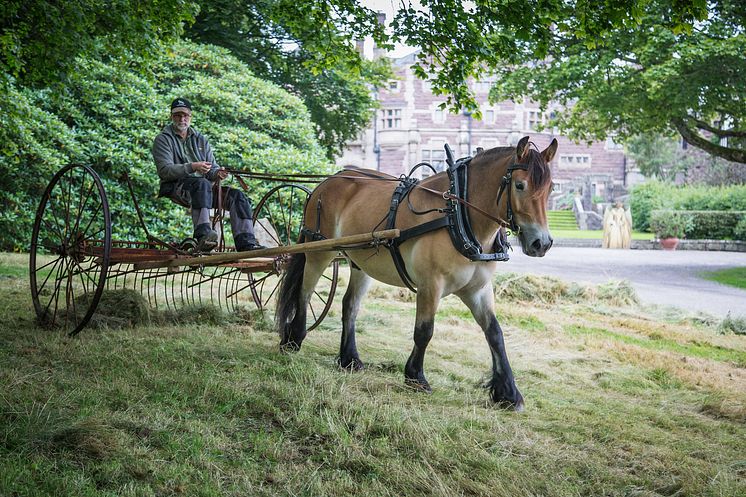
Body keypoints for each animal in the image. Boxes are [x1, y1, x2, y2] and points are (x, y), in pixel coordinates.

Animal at [274, 135, 552, 406]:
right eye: (520, 185)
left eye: (550, 188)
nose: (542, 243)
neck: (458, 215)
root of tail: (327, 181)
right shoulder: (431, 284)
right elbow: (424, 330)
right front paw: (415, 376)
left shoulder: (478, 289)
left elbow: (494, 333)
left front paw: (507, 392)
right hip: (319, 251)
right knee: (304, 293)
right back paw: (293, 338)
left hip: (361, 261)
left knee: (349, 305)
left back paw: (349, 358)